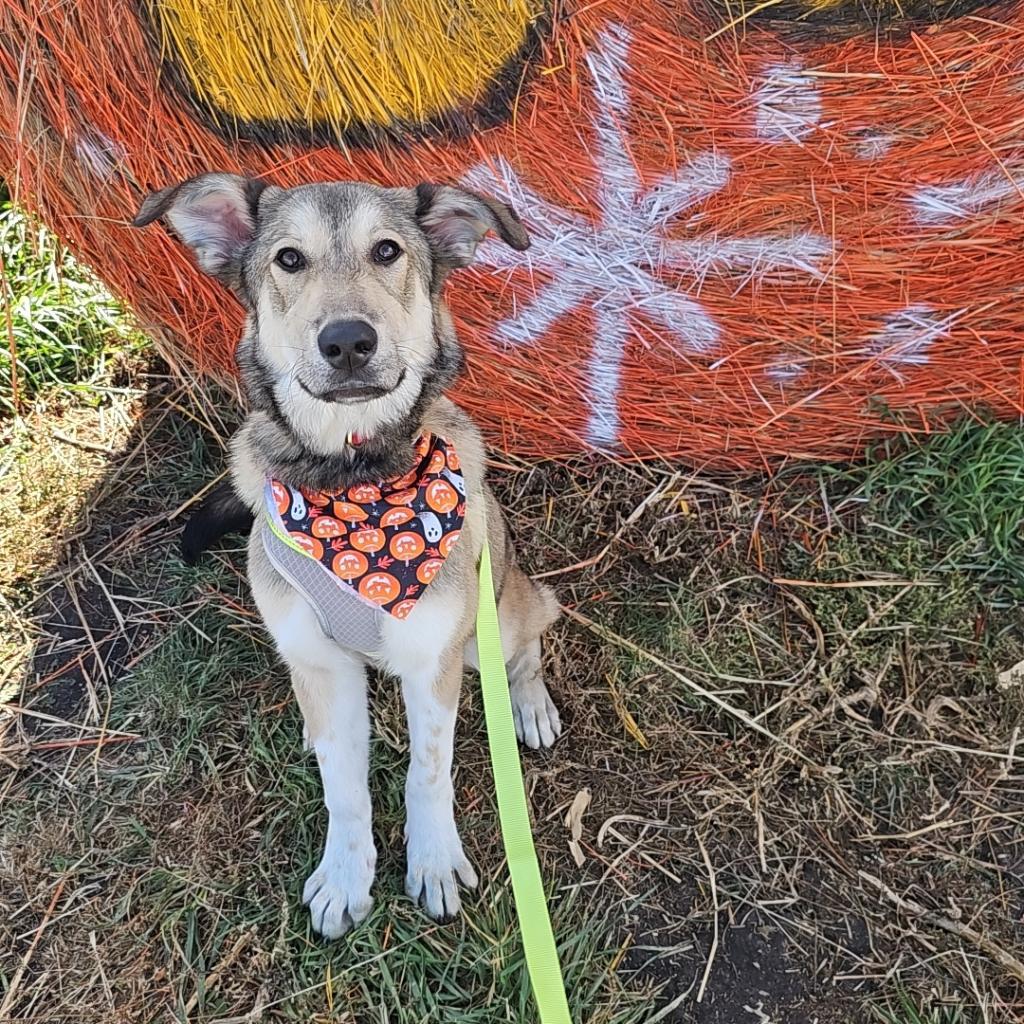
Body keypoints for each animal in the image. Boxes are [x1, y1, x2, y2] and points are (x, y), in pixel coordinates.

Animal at [133, 174, 565, 937]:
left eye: (387, 250)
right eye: (289, 260)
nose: (347, 342)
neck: (353, 480)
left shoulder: (433, 661)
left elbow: (428, 770)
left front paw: (432, 861)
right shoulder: (318, 659)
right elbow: (345, 787)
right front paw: (344, 876)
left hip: (499, 610)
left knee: (529, 635)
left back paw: (530, 703)